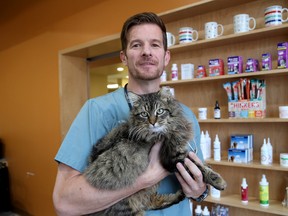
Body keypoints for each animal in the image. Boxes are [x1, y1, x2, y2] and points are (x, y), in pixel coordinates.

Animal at [82, 87, 226, 215]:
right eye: (144, 114)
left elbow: (197, 161)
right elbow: (198, 167)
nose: (152, 123)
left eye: (160, 111)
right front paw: (217, 180)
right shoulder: (172, 158)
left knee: (152, 202)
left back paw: (179, 195)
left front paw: (208, 166)